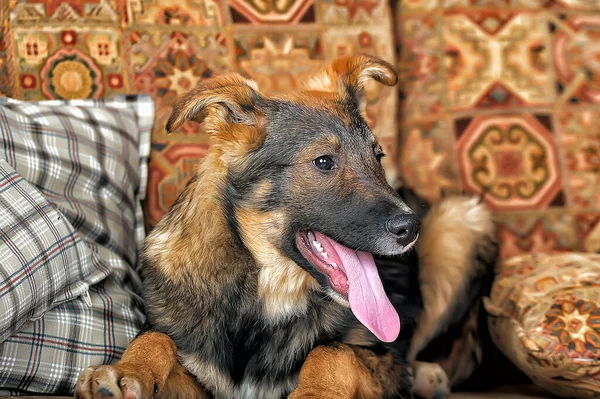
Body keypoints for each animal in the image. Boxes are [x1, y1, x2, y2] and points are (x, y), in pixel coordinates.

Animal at [74, 54, 496, 399]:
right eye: (324, 162)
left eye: (378, 157)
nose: (411, 228)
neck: (267, 291)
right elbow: (156, 337)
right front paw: (124, 372)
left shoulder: (383, 359)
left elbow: (333, 351)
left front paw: (314, 391)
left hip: (460, 218)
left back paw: (428, 376)